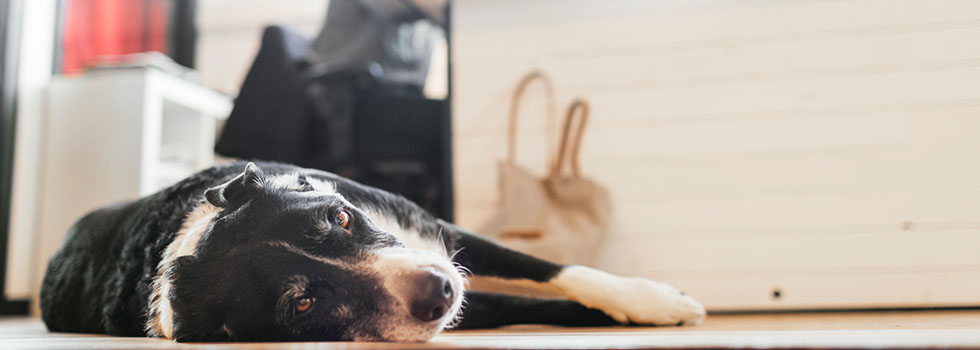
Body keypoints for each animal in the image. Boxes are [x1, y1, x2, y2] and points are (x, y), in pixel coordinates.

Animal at [40, 161, 704, 342]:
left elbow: (554, 270)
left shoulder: (437, 235)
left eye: (339, 217)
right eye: (302, 306)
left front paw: (653, 302)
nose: (441, 291)